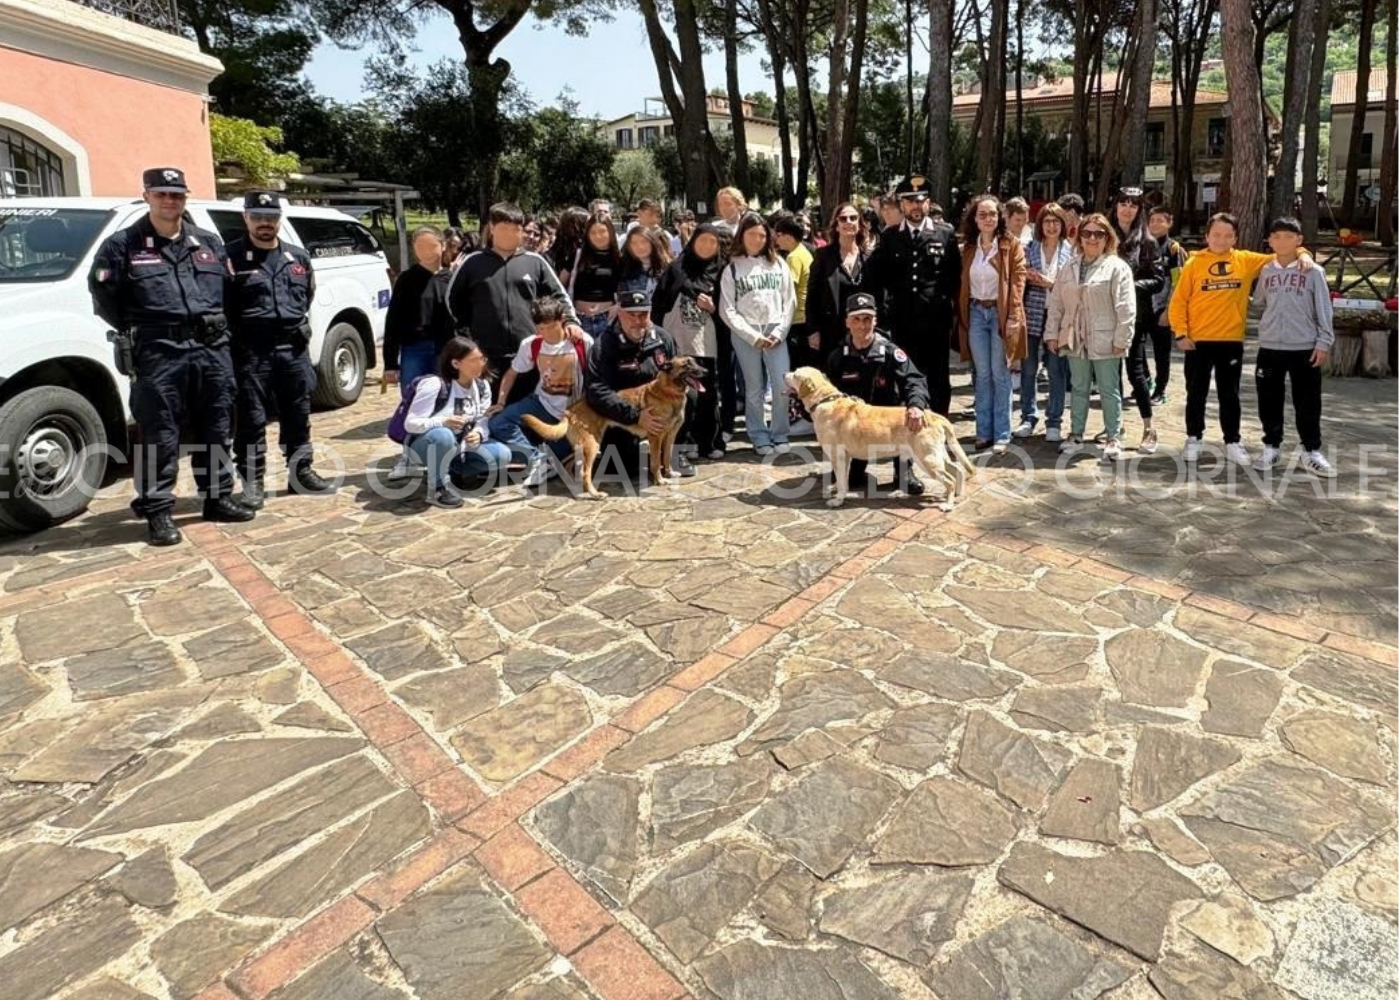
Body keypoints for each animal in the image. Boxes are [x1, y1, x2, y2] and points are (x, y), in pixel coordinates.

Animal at [520, 355, 705, 498]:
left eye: (695, 362)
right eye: (686, 364)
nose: (706, 371)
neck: (669, 392)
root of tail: (570, 410)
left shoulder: (669, 436)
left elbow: (666, 457)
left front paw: (670, 473)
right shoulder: (656, 437)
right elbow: (655, 462)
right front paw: (660, 480)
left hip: (584, 446)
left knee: (570, 465)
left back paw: (576, 487)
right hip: (592, 445)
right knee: (584, 472)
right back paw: (595, 494)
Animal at [789, 366, 974, 507]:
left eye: (796, 374)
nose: (786, 373)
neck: (825, 401)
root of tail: (934, 416)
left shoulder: (837, 456)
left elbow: (841, 479)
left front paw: (838, 500)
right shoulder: (845, 457)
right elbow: (843, 478)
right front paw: (837, 490)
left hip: (926, 458)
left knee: (950, 478)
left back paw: (948, 505)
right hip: (935, 454)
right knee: (957, 470)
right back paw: (956, 495)